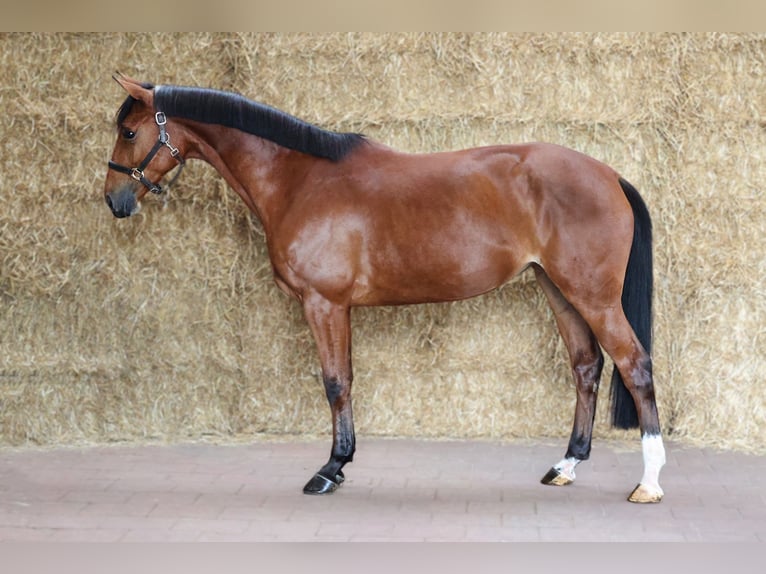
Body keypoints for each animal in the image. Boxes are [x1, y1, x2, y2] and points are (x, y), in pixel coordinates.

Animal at [103, 73, 665, 503]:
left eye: (129, 131)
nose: (114, 199)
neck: (300, 180)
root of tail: (609, 175)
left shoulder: (324, 304)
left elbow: (335, 383)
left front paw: (329, 469)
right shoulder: (336, 307)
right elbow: (346, 379)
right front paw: (341, 463)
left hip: (593, 296)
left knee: (634, 365)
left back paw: (649, 482)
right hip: (559, 291)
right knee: (586, 366)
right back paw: (566, 466)